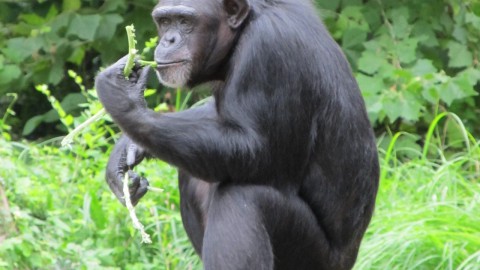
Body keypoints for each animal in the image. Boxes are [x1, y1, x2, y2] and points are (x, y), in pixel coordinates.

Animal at [94, 0, 378, 268]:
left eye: (185, 21)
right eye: (165, 22)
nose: (168, 39)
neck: (243, 31)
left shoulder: (268, 49)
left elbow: (257, 149)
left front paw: (124, 98)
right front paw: (125, 150)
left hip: (311, 258)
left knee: (241, 196)